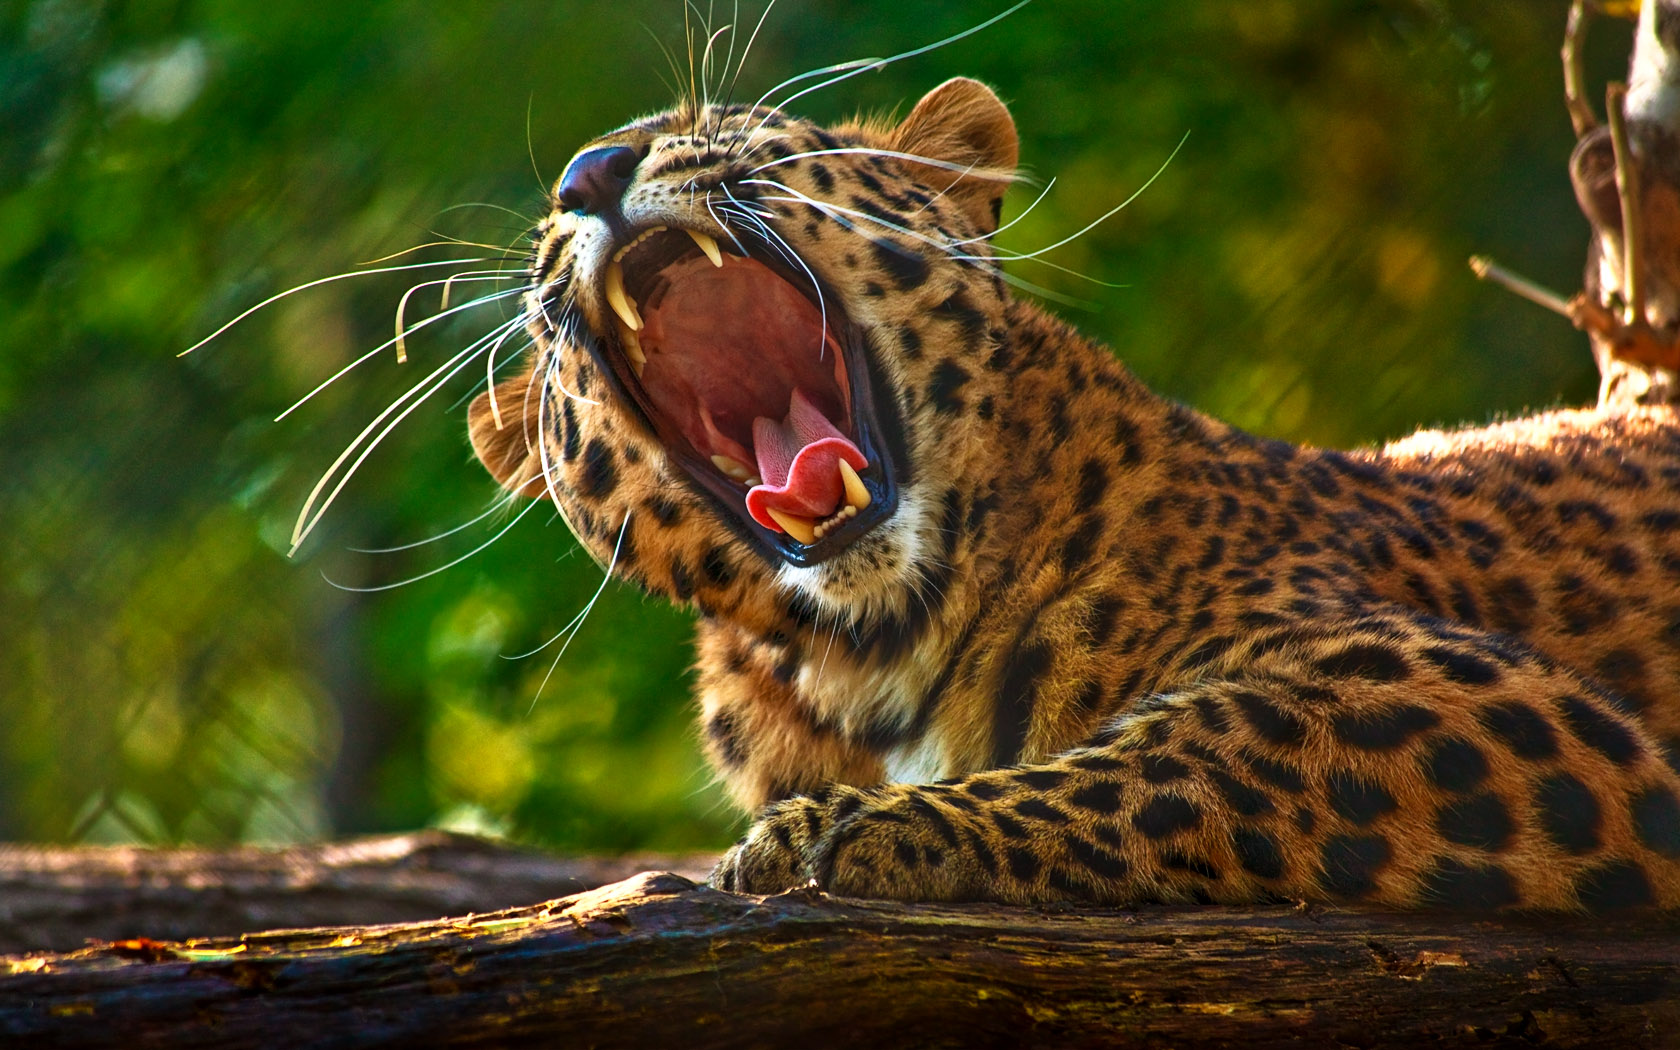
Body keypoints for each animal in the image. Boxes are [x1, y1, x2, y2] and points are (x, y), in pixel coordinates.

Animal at [466, 76, 1680, 912]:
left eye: (728, 128)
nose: (590, 173)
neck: (867, 659)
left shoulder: (1462, 686)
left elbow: (1192, 746)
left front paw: (838, 830)